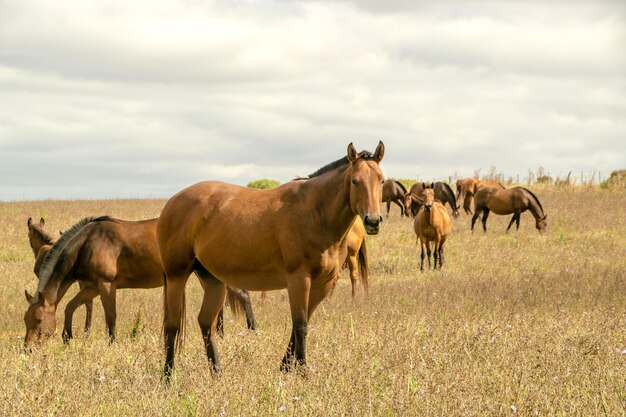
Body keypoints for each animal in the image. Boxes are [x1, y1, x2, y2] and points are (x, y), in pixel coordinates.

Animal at [23, 216, 255, 346]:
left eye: (39, 320)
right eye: (26, 320)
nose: (28, 348)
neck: (86, 245)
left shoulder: (106, 286)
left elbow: (111, 317)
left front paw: (112, 344)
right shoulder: (91, 287)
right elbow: (70, 307)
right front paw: (67, 337)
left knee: (242, 295)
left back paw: (252, 330)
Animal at [156, 142, 386, 376]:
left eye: (381, 180)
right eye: (354, 181)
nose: (372, 221)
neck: (316, 212)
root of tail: (173, 201)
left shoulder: (323, 284)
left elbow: (300, 324)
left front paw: (285, 366)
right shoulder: (299, 280)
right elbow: (300, 325)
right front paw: (302, 371)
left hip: (213, 281)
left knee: (205, 322)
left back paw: (216, 373)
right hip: (176, 277)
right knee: (172, 325)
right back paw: (168, 374)